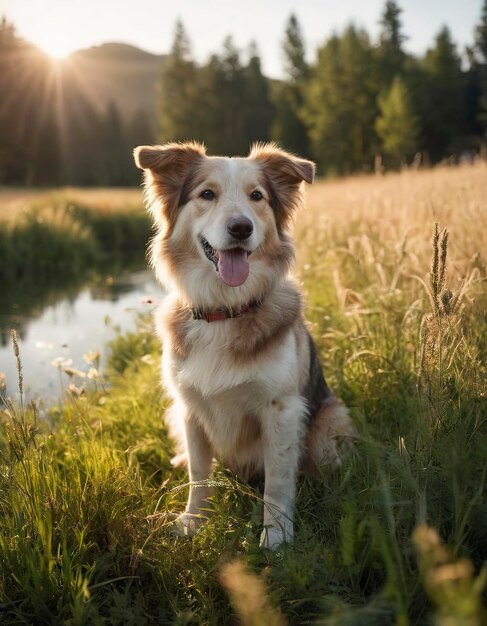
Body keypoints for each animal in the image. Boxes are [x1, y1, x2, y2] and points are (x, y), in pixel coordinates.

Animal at [135, 141, 356, 544]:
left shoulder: (281, 409)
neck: (226, 311)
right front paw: (194, 521)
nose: (241, 227)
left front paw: (276, 538)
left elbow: (278, 484)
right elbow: (198, 474)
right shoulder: (189, 408)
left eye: (257, 196)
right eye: (207, 194)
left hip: (329, 421)